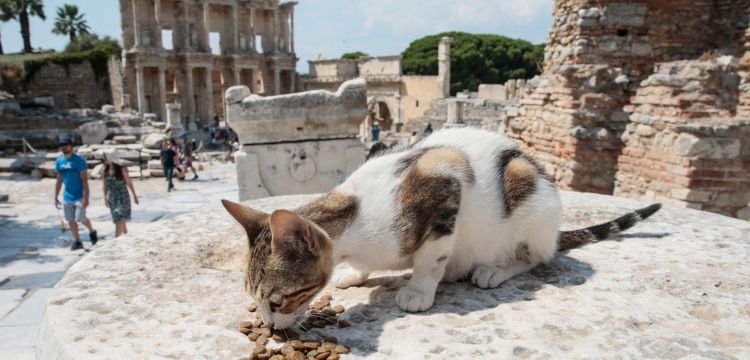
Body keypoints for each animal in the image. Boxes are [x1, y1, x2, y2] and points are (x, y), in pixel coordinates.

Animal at [220, 126, 660, 330]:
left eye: (277, 302)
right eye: (255, 300)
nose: (269, 326)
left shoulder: (444, 176)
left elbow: (431, 255)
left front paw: (418, 290)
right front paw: (354, 273)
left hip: (529, 195)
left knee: (538, 256)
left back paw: (492, 269)